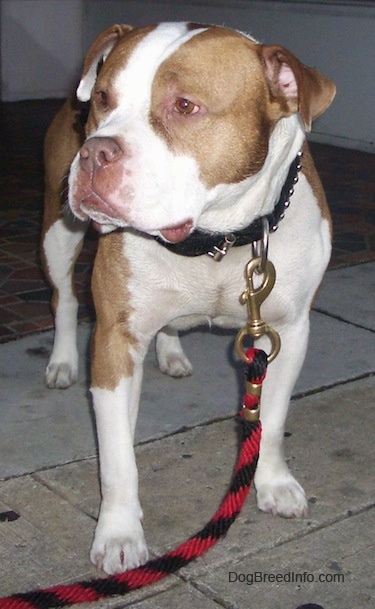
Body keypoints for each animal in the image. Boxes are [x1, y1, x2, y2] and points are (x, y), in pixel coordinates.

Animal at [41, 22, 334, 576]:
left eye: (184, 106)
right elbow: (117, 458)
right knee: (64, 300)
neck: (216, 238)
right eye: (104, 99)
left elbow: (273, 419)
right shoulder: (115, 341)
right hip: (58, 231)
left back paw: (172, 353)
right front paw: (119, 534)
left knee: (170, 322)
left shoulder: (287, 332)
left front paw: (273, 484)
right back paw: (63, 361)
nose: (94, 152)